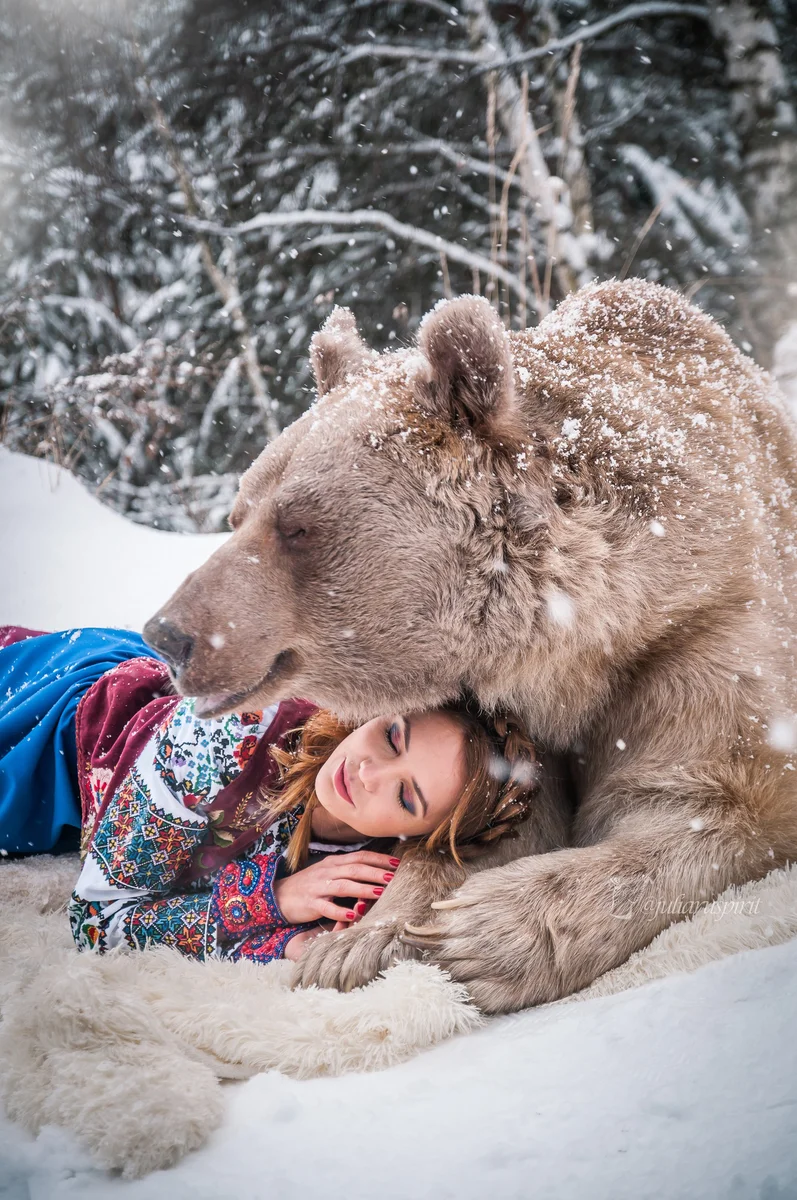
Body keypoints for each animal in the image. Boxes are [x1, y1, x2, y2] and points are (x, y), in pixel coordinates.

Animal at [143, 278, 797, 1012]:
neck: (571, 646)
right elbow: (482, 827)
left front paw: (483, 933)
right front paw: (362, 939)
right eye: (237, 514)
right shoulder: (502, 711)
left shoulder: (694, 641)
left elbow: (701, 805)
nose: (168, 633)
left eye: (296, 525)